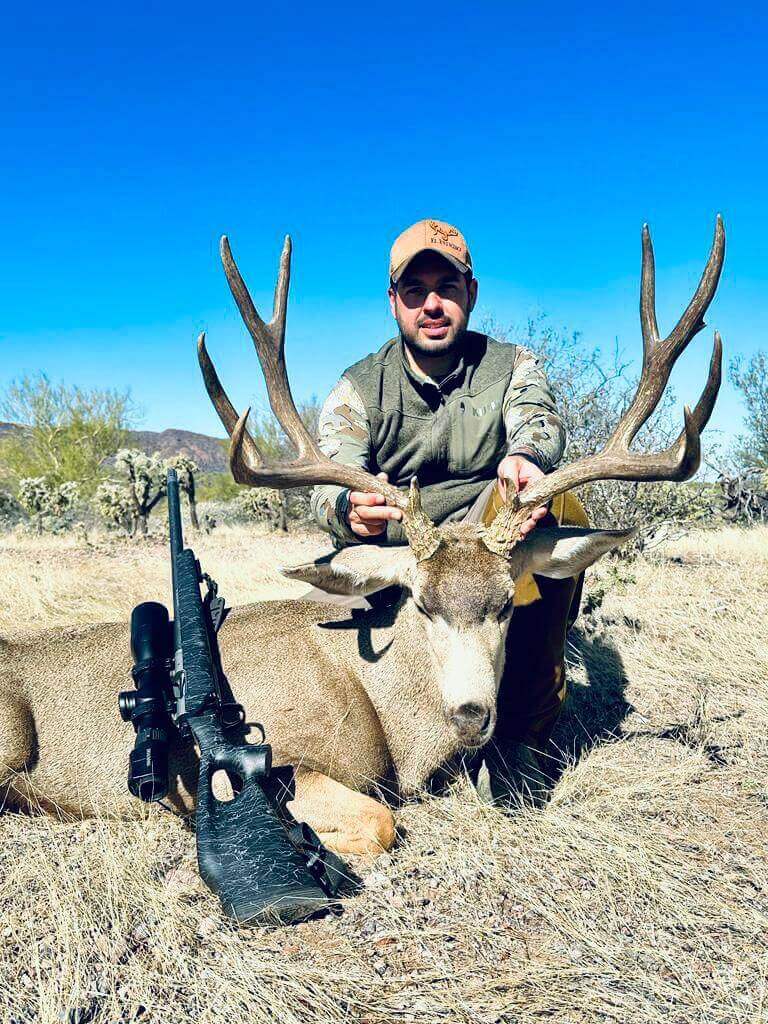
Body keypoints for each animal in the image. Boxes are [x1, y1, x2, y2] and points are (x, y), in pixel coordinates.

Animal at [0, 218, 724, 856]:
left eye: (505, 606)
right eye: (422, 605)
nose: (471, 715)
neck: (386, 711)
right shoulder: (283, 754)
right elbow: (381, 820)